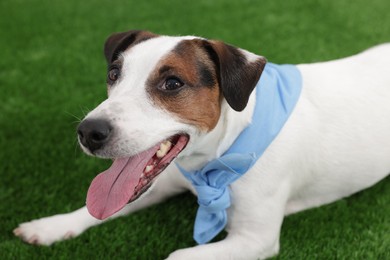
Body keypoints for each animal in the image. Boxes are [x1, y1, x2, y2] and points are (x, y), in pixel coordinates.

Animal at [12, 30, 390, 258]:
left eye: (173, 83)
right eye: (113, 74)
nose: (88, 132)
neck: (217, 153)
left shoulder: (255, 239)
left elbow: (178, 255)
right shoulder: (158, 183)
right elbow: (93, 208)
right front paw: (49, 226)